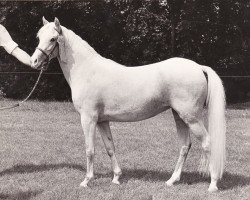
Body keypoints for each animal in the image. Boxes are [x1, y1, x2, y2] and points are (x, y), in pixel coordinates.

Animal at [30, 17, 226, 192]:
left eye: (53, 39)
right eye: (38, 37)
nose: (34, 62)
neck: (87, 70)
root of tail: (198, 67)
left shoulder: (88, 119)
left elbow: (89, 149)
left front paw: (86, 181)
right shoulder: (102, 121)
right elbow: (110, 148)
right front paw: (116, 178)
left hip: (191, 118)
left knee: (207, 143)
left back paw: (213, 184)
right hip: (179, 117)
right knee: (185, 146)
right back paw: (172, 180)